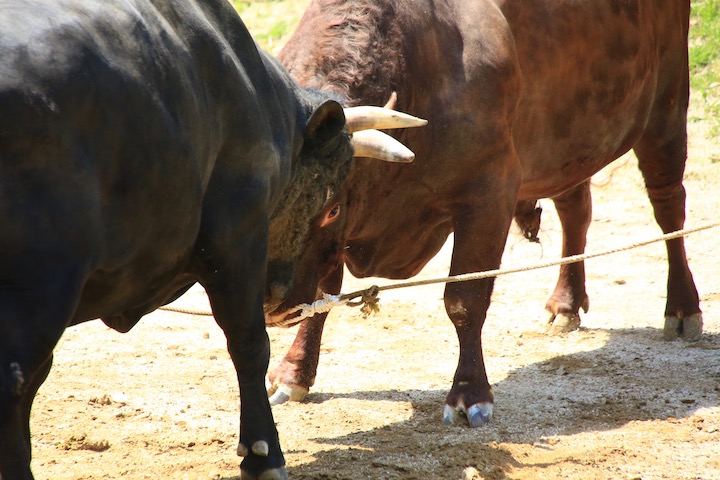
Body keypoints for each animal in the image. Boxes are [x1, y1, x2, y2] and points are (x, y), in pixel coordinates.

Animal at [264, 0, 696, 428]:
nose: (269, 303)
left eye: (331, 208)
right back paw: (566, 304)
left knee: (668, 206)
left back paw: (683, 307)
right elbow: (322, 297)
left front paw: (469, 393)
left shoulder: (490, 194)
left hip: (667, 104)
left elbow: (465, 300)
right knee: (576, 210)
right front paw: (293, 373)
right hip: (569, 141)